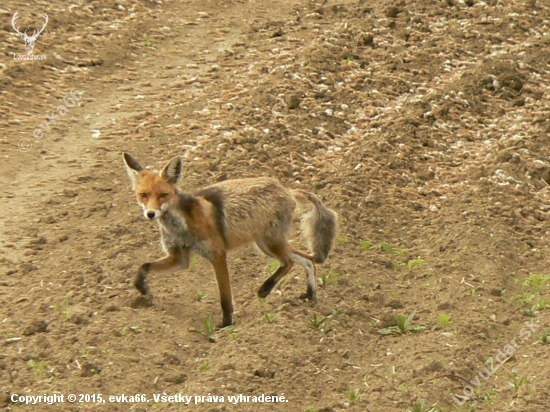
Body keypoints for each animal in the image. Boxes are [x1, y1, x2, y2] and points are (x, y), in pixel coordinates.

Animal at [123, 153, 338, 326]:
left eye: (163, 195)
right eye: (143, 195)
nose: (150, 214)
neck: (179, 227)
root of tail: (285, 188)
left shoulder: (217, 254)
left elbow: (225, 297)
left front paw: (227, 325)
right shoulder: (179, 258)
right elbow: (144, 267)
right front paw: (142, 290)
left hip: (269, 243)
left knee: (290, 262)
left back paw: (266, 289)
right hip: (266, 244)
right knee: (307, 260)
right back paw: (310, 296)